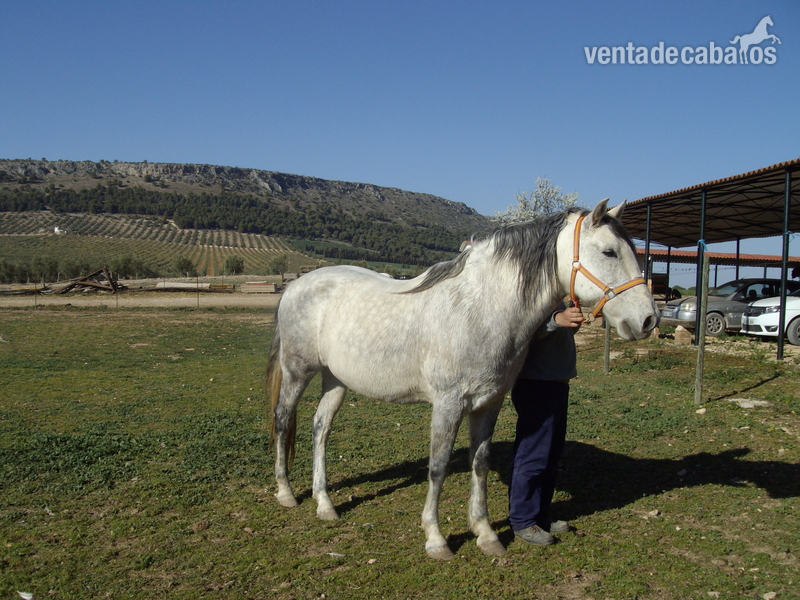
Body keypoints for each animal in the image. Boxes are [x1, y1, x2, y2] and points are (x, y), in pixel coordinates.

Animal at [265, 199, 658, 560]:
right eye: (609, 251)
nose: (648, 320)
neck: (481, 309)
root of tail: (297, 284)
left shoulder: (489, 403)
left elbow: (479, 464)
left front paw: (486, 534)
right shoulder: (448, 404)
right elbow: (438, 467)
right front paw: (436, 539)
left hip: (335, 379)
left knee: (320, 428)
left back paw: (325, 504)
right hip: (298, 371)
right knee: (283, 420)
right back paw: (285, 493)